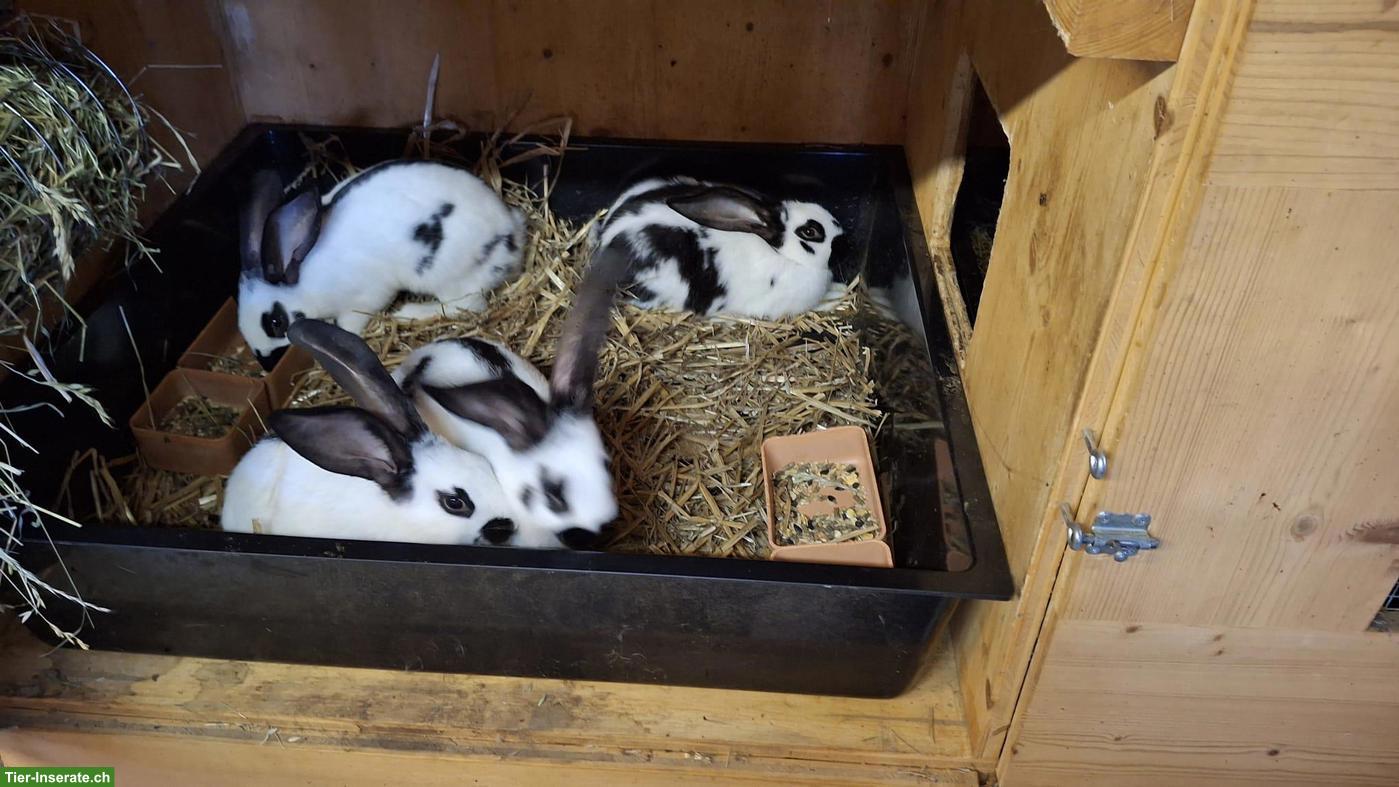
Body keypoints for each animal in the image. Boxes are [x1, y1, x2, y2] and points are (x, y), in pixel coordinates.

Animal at [236, 160, 526, 363]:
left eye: (276, 323)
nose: (265, 359)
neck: (304, 282)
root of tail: (512, 233)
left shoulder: (363, 298)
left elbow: (349, 324)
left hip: (447, 276)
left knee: (463, 306)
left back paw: (408, 312)